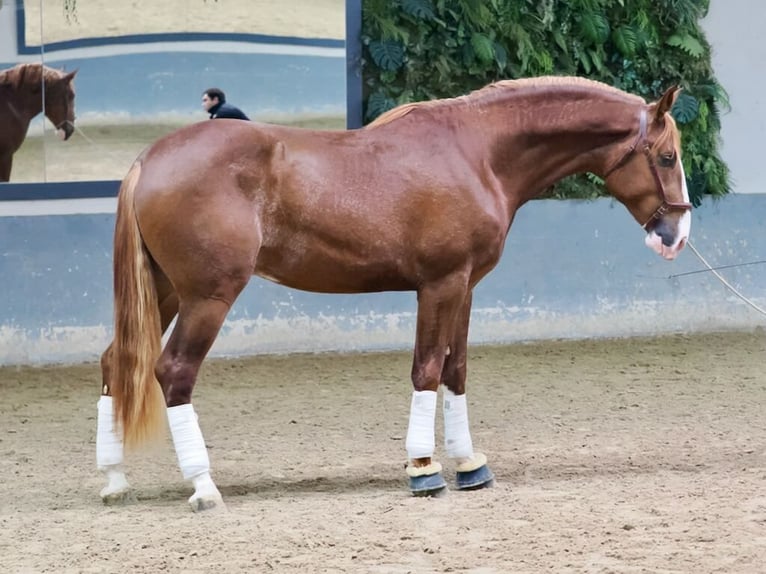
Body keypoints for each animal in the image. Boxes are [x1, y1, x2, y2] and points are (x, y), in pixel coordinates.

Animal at [97, 76, 696, 512]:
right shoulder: (439, 284)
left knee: (115, 362)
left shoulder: (465, 288)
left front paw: (469, 464)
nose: (676, 235)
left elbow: (455, 371)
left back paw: (113, 479)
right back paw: (203, 486)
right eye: (667, 157)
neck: (476, 153)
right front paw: (424, 469)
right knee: (174, 371)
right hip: (207, 297)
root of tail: (149, 159)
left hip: (166, 292)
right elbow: (426, 369)